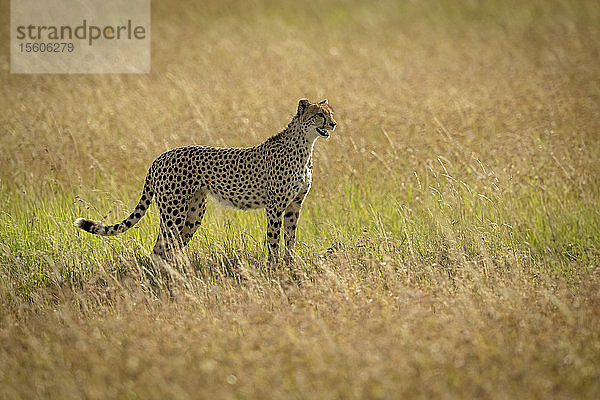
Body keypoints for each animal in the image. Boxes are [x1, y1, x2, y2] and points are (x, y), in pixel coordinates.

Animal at [74, 99, 338, 264]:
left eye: (331, 114)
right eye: (319, 115)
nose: (334, 124)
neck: (305, 146)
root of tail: (160, 157)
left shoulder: (294, 205)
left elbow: (290, 239)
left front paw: (290, 266)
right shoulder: (275, 207)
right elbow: (274, 239)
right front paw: (274, 268)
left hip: (193, 213)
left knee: (167, 247)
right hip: (174, 213)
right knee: (161, 247)